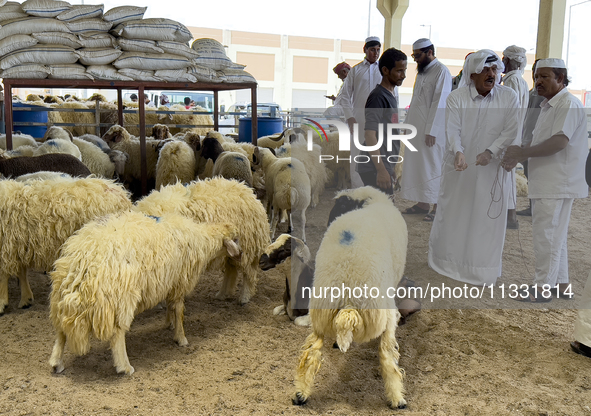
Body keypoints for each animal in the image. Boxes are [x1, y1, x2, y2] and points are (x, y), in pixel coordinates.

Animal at [0, 176, 132, 316]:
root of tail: (120, 193)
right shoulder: (17, 245)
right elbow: (21, 273)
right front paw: (26, 299)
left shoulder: (7, 246)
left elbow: (3, 276)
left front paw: (2, 304)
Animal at [49, 213, 240, 376]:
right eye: (236, 239)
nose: (241, 253)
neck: (202, 240)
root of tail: (83, 256)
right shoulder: (179, 282)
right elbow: (179, 310)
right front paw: (181, 338)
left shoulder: (168, 282)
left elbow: (171, 306)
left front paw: (169, 324)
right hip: (120, 296)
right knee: (117, 333)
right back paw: (125, 367)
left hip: (61, 296)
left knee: (60, 332)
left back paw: (56, 362)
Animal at [133, 177, 270, 304]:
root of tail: (248, 191)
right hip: (230, 251)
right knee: (231, 271)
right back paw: (223, 294)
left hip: (248, 248)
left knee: (249, 274)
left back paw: (244, 297)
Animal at [294, 187, 410, 412]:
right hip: (382, 313)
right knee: (387, 357)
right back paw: (397, 399)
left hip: (319, 316)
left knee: (311, 355)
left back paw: (300, 394)